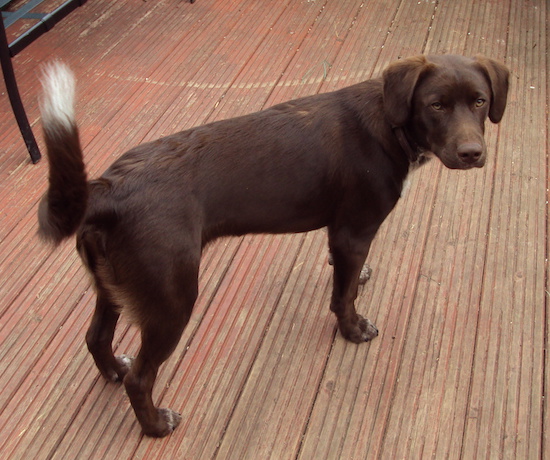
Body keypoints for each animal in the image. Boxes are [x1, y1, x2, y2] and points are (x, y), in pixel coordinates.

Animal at [38, 54, 512, 434]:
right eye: (435, 105)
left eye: (479, 101)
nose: (472, 153)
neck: (389, 124)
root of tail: (106, 190)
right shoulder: (353, 231)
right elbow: (342, 299)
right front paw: (353, 330)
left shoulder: (341, 234)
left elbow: (346, 276)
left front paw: (359, 278)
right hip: (171, 299)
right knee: (142, 379)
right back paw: (156, 425)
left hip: (113, 286)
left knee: (96, 338)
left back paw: (114, 370)